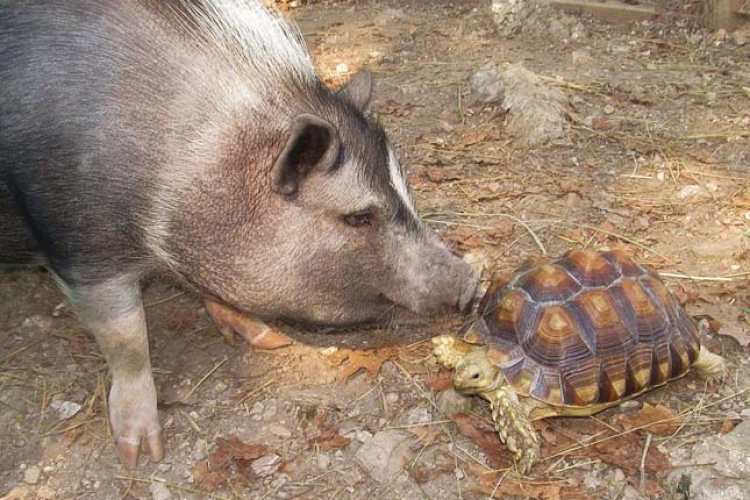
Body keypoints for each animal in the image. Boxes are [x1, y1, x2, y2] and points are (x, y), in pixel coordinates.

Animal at [0, 0, 478, 468]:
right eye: (358, 217)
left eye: (405, 188)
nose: (471, 280)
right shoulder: (80, 243)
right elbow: (126, 337)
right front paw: (140, 454)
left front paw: (269, 340)